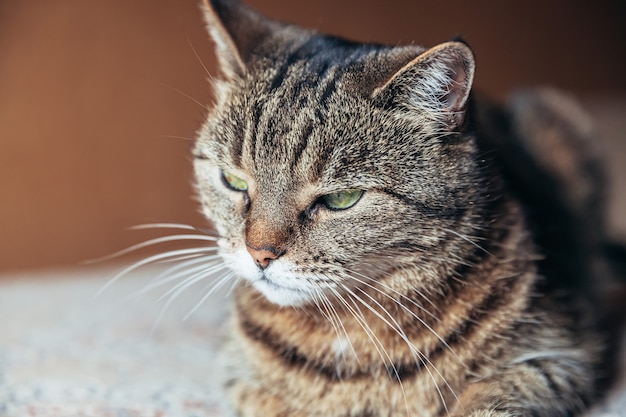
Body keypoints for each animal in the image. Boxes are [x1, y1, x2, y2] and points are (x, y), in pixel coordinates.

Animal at [193, 0, 620, 416]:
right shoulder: (242, 380)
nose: (259, 254)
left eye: (341, 199)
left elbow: (488, 400)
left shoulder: (562, 355)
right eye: (234, 181)